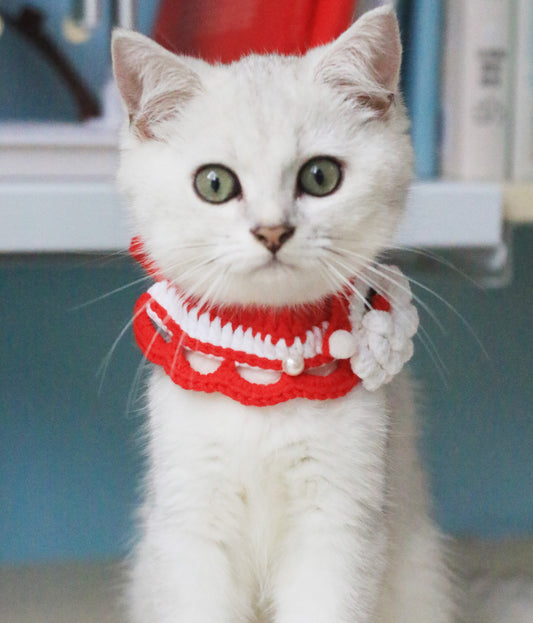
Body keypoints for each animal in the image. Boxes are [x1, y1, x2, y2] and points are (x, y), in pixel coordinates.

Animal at [111, 6, 454, 623]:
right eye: (214, 183)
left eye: (320, 176)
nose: (272, 231)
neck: (265, 364)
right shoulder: (191, 519)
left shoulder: (340, 522)